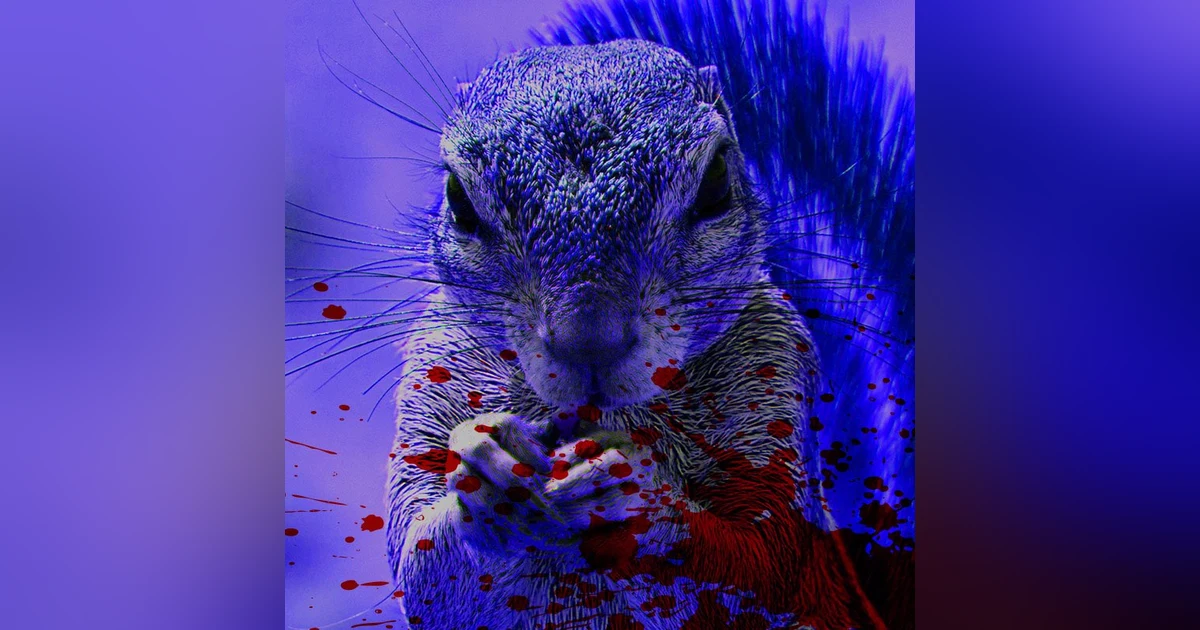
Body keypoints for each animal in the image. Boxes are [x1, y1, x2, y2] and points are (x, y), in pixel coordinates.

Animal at [382, 1, 914, 628]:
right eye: (458, 201)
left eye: (716, 182)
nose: (589, 340)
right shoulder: (432, 373)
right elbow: (420, 563)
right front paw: (485, 466)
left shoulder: (774, 372)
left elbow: (766, 558)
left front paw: (635, 490)